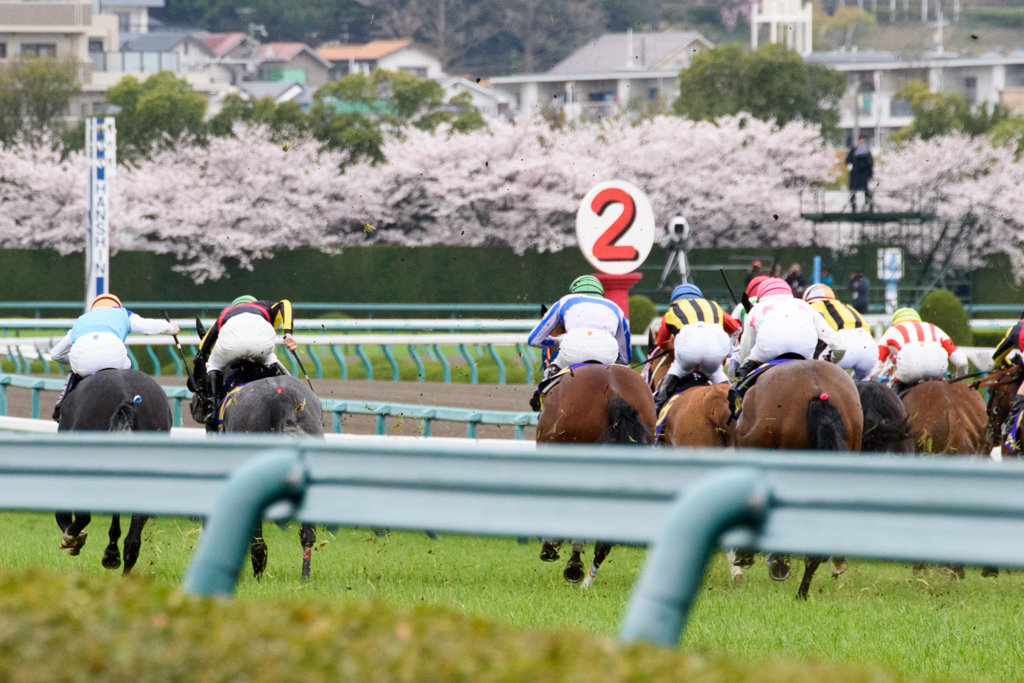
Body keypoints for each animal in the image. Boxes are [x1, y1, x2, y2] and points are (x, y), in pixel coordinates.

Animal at [54, 370, 169, 573]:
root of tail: (126, 398)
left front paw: (74, 540)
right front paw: (111, 554)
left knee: (84, 516)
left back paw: (72, 539)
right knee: (133, 542)